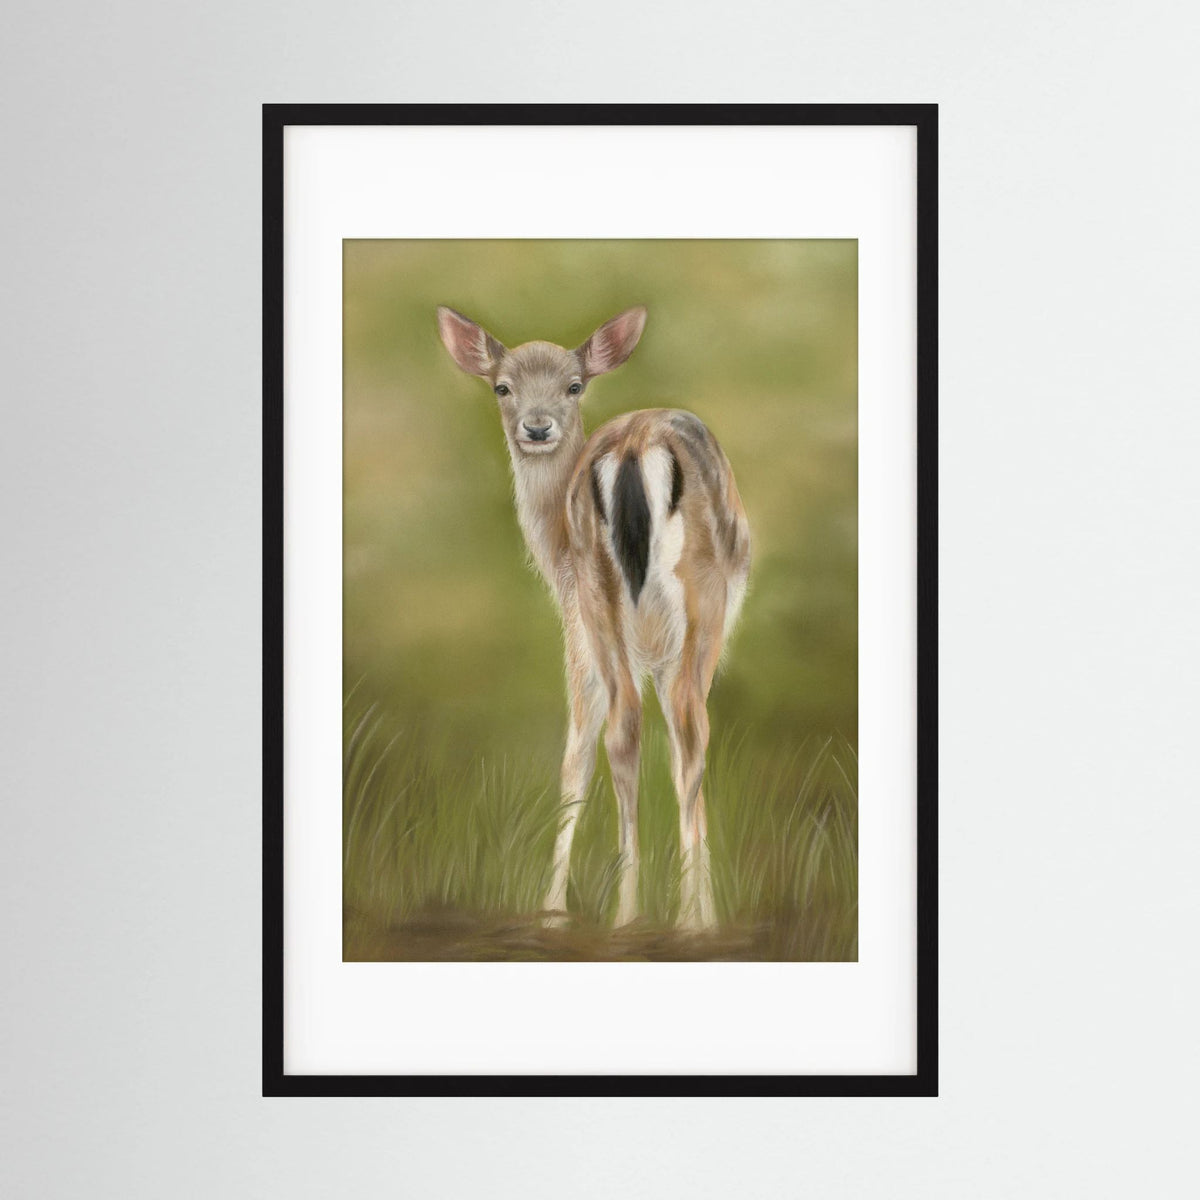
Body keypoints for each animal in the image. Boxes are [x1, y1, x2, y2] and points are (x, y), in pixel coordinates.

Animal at [436, 305, 751, 930]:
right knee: (680, 728)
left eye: (574, 386)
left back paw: (635, 914)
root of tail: (633, 448)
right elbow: (589, 754)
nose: (536, 428)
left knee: (636, 728)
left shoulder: (592, 631)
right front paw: (556, 908)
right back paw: (671, 920)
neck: (552, 551)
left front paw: (553, 909)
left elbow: (584, 752)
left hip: (607, 597)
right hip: (686, 602)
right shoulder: (593, 636)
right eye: (502, 386)